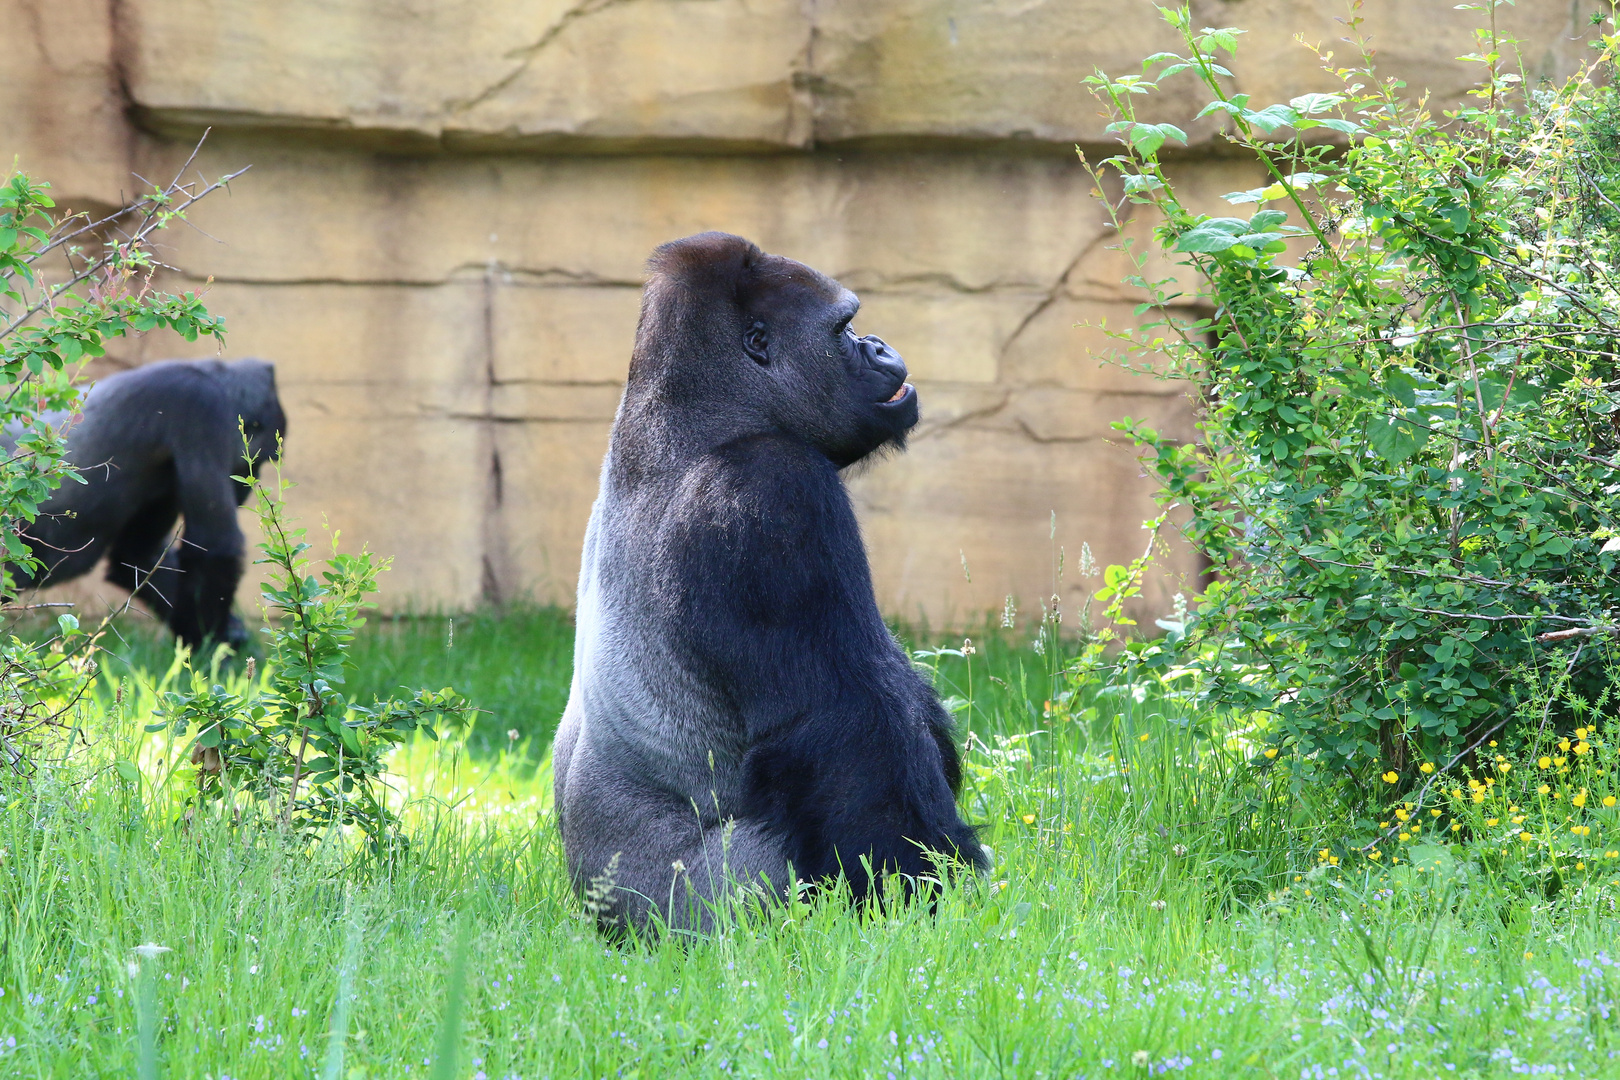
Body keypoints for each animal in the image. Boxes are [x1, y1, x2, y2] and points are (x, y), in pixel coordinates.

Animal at [6, 361, 286, 650]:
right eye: (257, 463)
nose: (246, 490)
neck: (210, 376)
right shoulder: (199, 405)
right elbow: (215, 544)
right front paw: (213, 642)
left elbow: (137, 555)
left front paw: (222, 636)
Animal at [554, 233, 984, 932]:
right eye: (844, 327)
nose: (879, 345)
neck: (697, 420)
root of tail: (605, 921)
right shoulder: (769, 490)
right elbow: (847, 722)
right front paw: (918, 897)